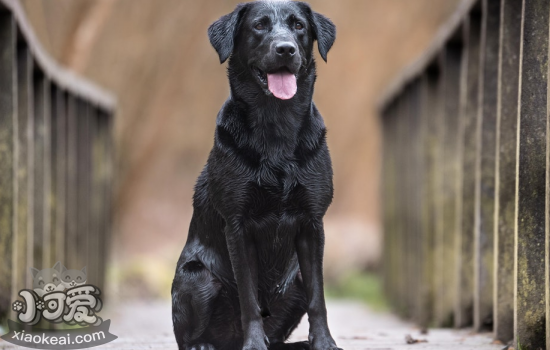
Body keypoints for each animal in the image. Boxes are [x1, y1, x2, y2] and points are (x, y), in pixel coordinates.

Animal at [174, 1, 340, 348]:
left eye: (299, 26)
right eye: (259, 26)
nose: (286, 48)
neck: (276, 125)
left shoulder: (312, 224)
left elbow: (319, 297)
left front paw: (323, 342)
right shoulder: (238, 226)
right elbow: (249, 298)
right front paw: (253, 343)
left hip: (295, 279)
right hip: (197, 276)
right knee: (189, 337)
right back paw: (207, 343)